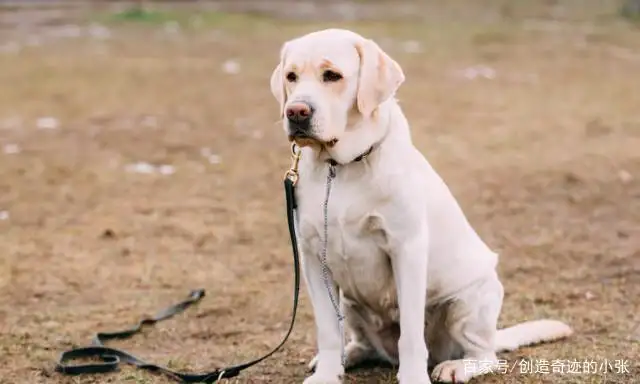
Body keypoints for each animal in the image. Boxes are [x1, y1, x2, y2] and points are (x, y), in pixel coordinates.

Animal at [268, 28, 572, 382]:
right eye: (291, 77)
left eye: (332, 75)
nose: (296, 112)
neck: (341, 166)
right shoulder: (314, 256)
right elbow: (328, 332)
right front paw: (327, 374)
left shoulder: (406, 248)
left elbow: (411, 334)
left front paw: (413, 377)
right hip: (351, 305)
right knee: (362, 342)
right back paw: (349, 356)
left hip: (469, 301)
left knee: (485, 355)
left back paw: (456, 366)